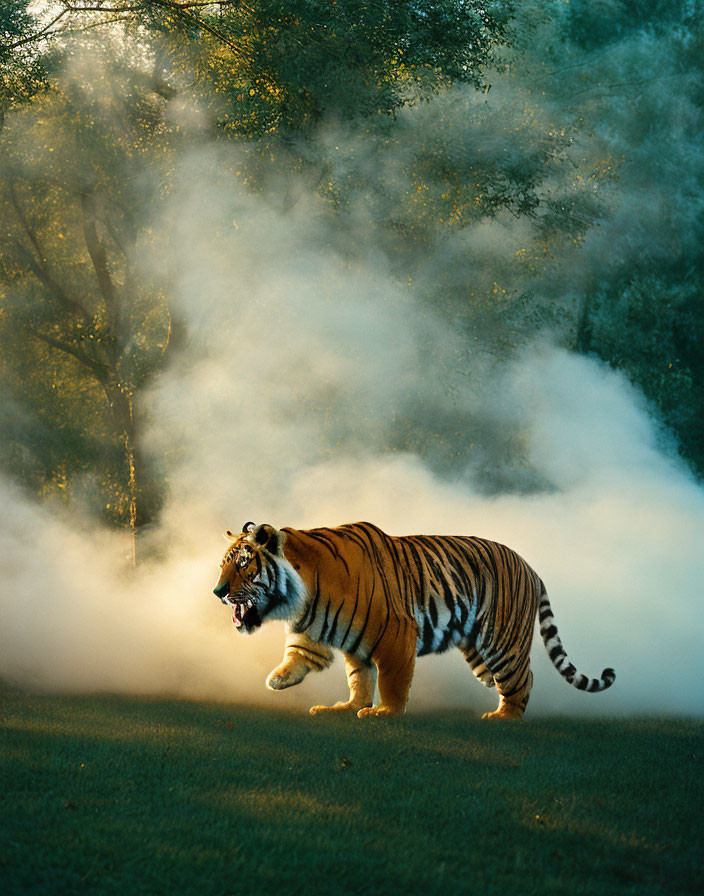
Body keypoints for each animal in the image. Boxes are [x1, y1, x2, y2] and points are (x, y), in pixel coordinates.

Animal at [212, 520, 612, 720]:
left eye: (244, 563)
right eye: (223, 564)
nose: (217, 591)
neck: (305, 593)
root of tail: (532, 568)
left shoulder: (395, 633)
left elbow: (391, 679)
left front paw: (384, 713)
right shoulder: (334, 632)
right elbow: (354, 675)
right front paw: (339, 704)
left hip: (502, 641)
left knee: (522, 677)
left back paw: (505, 719)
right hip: (478, 650)